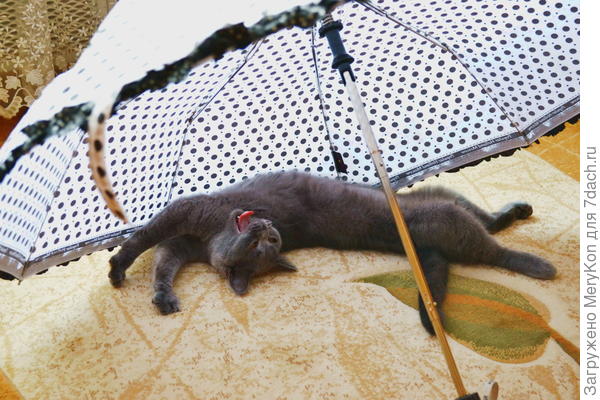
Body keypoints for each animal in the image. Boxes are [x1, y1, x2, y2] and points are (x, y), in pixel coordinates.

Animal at [108, 171, 556, 334]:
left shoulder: (185, 218)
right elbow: (158, 257)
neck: (211, 237)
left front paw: (123, 268)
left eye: (273, 243)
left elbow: (148, 241)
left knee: (490, 234)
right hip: (444, 211)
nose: (267, 226)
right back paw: (533, 254)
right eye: (256, 246)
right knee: (489, 245)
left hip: (440, 196)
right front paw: (155, 291)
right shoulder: (181, 236)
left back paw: (525, 233)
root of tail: (420, 246)